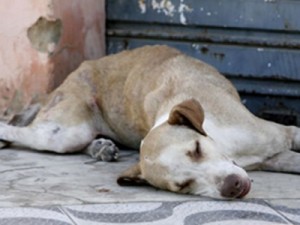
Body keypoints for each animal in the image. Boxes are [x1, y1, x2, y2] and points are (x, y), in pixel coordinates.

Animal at [0, 45, 300, 199]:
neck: (223, 140)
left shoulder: (283, 136)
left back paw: (100, 147)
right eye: (183, 185)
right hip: (64, 133)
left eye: (196, 149)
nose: (233, 186)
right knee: (26, 131)